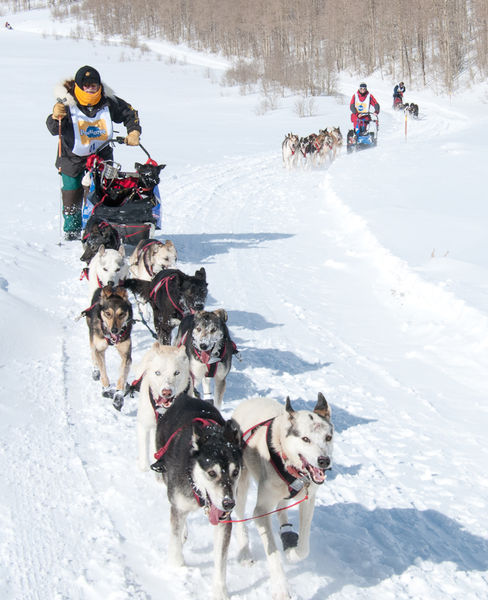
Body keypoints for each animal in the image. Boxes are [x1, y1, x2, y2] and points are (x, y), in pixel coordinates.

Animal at [152, 394, 243, 600]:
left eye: (235, 472)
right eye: (211, 473)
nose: (228, 503)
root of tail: (185, 396)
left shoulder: (224, 522)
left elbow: (220, 561)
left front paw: (219, 591)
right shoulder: (178, 505)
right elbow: (175, 542)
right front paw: (176, 568)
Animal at [232, 394, 332, 600]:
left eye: (328, 437)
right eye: (305, 439)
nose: (324, 461)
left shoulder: (308, 501)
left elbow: (304, 547)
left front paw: (293, 553)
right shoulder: (261, 510)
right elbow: (272, 552)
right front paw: (281, 587)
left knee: (280, 507)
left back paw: (286, 532)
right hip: (241, 484)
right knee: (240, 515)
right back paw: (245, 552)